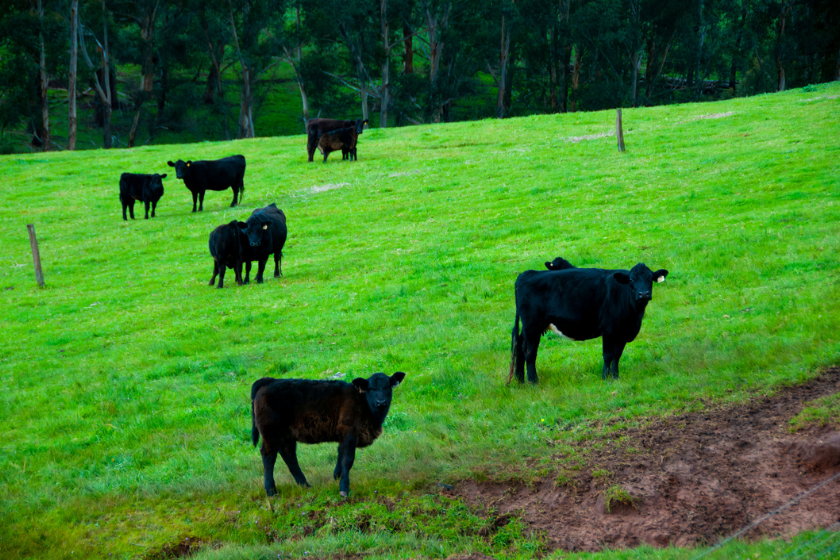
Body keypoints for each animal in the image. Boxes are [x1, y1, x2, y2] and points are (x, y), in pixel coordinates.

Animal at [249, 372, 406, 494]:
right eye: (371, 388)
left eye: (388, 387)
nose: (381, 402)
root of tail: (270, 380)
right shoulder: (349, 432)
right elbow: (347, 460)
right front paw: (344, 488)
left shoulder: (344, 436)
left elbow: (340, 456)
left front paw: (337, 477)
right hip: (270, 432)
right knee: (269, 455)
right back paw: (271, 490)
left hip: (286, 434)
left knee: (289, 455)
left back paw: (305, 485)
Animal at [506, 260, 668, 382]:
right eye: (631, 280)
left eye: (650, 278)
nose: (643, 294)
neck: (634, 316)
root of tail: (526, 273)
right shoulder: (608, 330)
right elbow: (608, 355)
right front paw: (605, 378)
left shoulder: (622, 333)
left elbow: (617, 355)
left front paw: (616, 377)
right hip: (532, 326)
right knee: (530, 352)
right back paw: (533, 381)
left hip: (529, 327)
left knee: (520, 346)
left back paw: (520, 380)